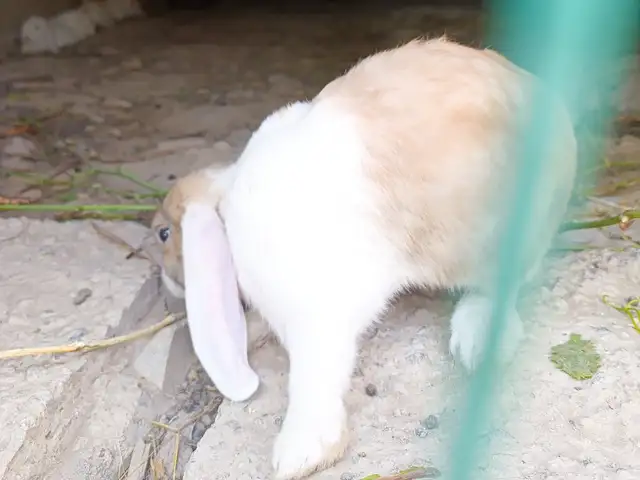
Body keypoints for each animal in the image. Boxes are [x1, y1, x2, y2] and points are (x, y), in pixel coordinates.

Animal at [151, 37, 578, 479]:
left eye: (163, 232)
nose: (165, 280)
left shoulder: (319, 317)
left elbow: (313, 381)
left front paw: (299, 456)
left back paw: (478, 342)